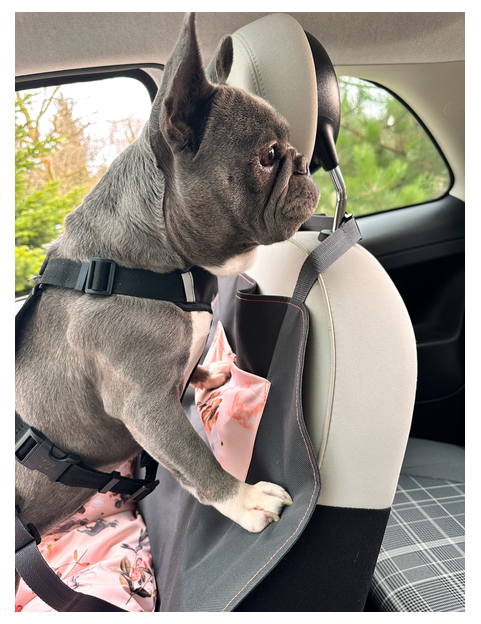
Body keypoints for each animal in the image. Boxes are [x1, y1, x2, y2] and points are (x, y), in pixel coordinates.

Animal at [15, 11, 320, 577]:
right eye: (269, 156)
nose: (305, 162)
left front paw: (206, 373)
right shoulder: (145, 407)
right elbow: (196, 460)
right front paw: (244, 500)